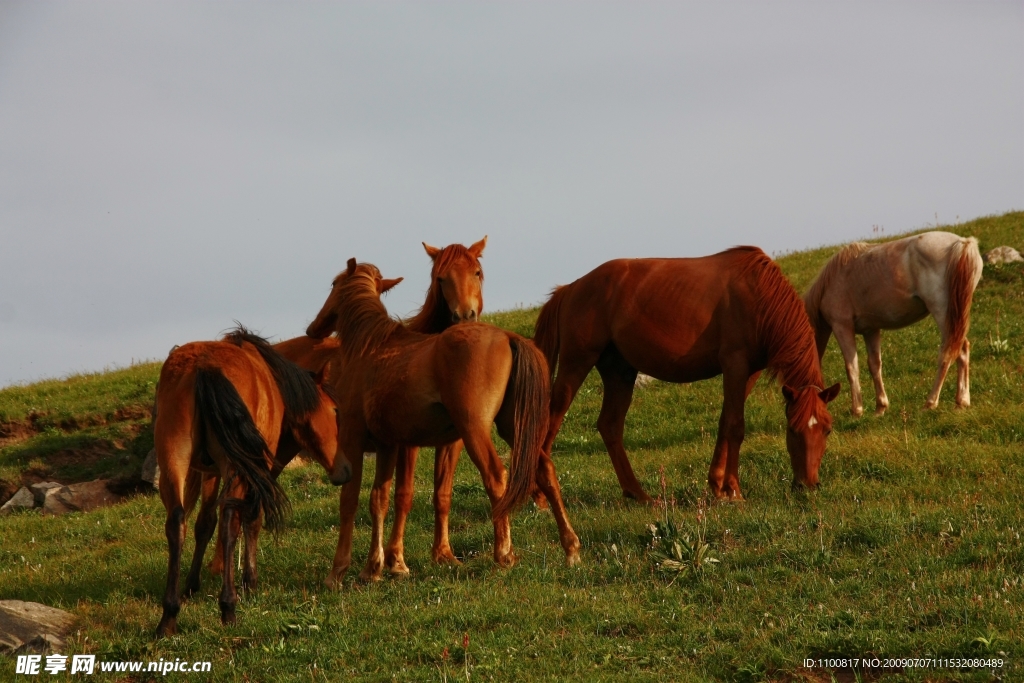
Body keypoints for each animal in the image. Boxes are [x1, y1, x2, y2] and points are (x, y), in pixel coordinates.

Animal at [151, 327, 344, 638]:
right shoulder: (257, 468)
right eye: (336, 410)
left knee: (177, 522)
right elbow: (251, 519)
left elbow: (204, 524)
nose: (344, 470)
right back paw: (228, 606)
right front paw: (249, 582)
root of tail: (205, 367)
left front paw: (191, 585)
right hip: (235, 468)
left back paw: (169, 616)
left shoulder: (211, 471)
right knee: (231, 520)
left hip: (173, 458)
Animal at [301, 259, 577, 585]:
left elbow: (350, 501)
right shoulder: (388, 445)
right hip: (514, 427)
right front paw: (374, 568)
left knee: (496, 476)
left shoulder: (353, 440)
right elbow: (379, 500)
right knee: (545, 470)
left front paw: (338, 572)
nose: (313, 328)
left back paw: (504, 553)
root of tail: (509, 337)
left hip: (474, 430)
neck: (371, 349)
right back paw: (571, 548)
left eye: (334, 284)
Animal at [536, 248, 839, 499]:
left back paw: (638, 495)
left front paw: (717, 485)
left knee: (610, 426)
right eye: (792, 429)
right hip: (576, 364)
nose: (808, 486)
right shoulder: (735, 365)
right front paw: (733, 490)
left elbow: (725, 422)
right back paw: (541, 495)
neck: (758, 295)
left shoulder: (748, 373)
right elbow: (735, 426)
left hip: (619, 372)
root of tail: (571, 288)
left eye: (827, 430)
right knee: (552, 420)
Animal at [798, 232, 983, 417]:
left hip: (943, 314)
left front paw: (857, 411)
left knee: (948, 353)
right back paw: (961, 402)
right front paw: (880, 408)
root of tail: (962, 243)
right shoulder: (871, 330)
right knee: (962, 351)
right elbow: (874, 365)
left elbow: (852, 368)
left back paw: (930, 403)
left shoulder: (842, 327)